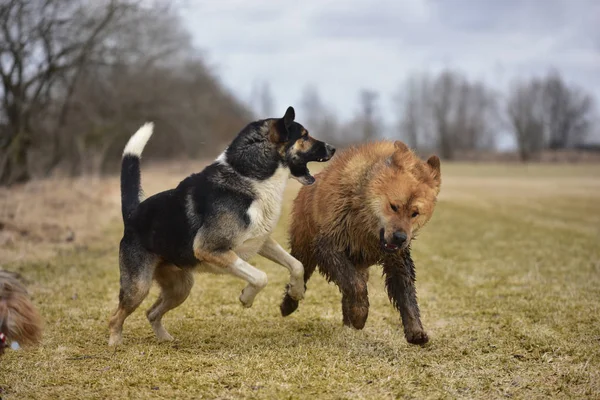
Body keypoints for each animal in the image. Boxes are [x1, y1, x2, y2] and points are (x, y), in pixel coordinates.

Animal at [110, 108, 336, 346]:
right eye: (304, 136)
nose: (333, 148)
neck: (250, 177)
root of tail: (132, 214)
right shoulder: (211, 249)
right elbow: (260, 276)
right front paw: (246, 298)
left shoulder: (261, 241)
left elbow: (296, 265)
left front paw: (296, 292)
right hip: (139, 287)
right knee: (116, 317)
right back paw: (116, 344)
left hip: (180, 288)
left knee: (151, 313)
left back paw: (166, 339)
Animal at [282, 140, 440, 344]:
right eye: (394, 206)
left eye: (415, 213)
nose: (400, 237)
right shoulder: (329, 245)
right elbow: (355, 285)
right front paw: (359, 315)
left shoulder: (397, 257)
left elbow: (406, 294)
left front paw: (415, 331)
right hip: (304, 246)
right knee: (301, 269)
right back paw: (288, 303)